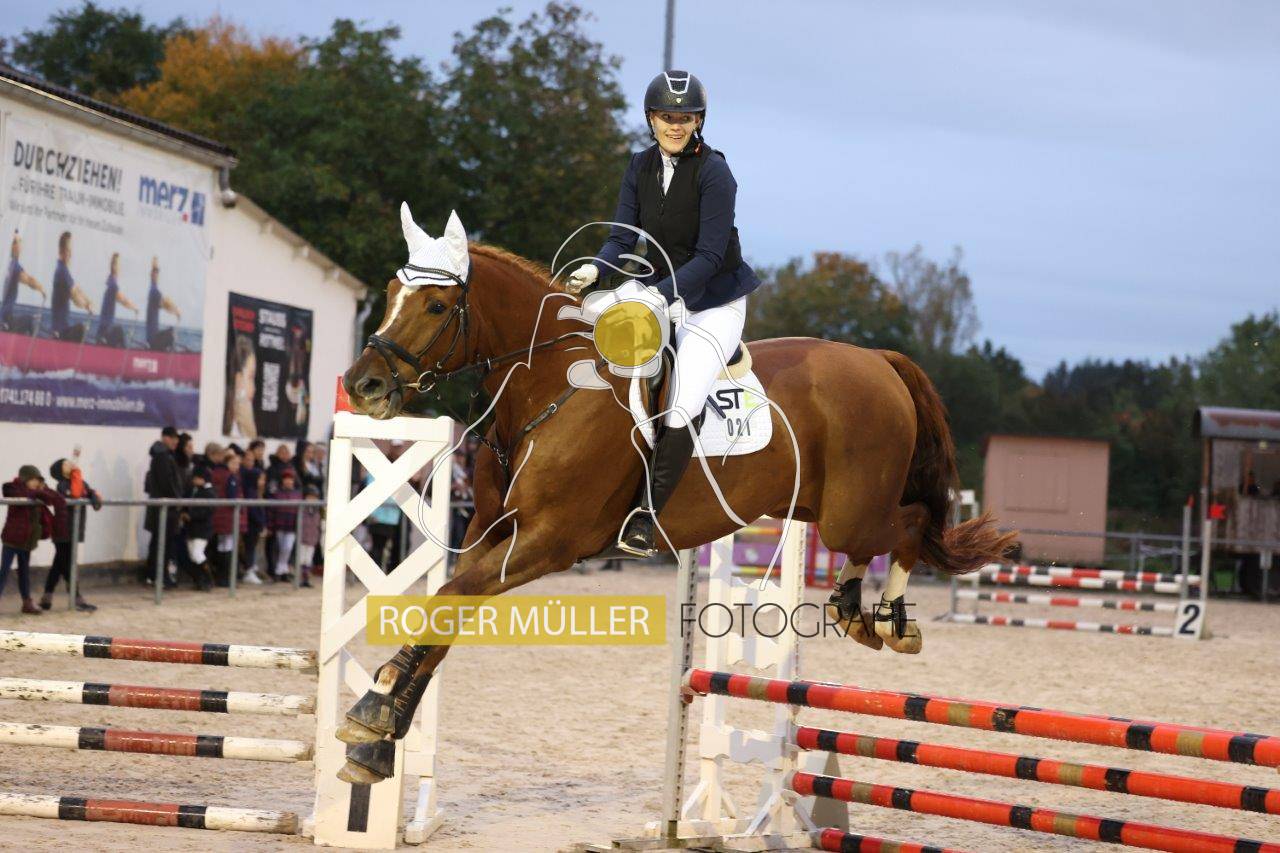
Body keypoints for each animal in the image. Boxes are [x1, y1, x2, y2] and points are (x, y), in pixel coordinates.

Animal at [333, 204, 1014, 783]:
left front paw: (376, 707)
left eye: (437, 305)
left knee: (910, 524)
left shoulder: (546, 543)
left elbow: (449, 599)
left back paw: (891, 620)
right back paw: (852, 609)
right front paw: (378, 731)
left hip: (853, 510)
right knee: (885, 536)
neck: (550, 386)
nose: (362, 385)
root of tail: (878, 359)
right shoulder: (489, 534)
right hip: (815, 506)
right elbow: (446, 613)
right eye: (391, 295)